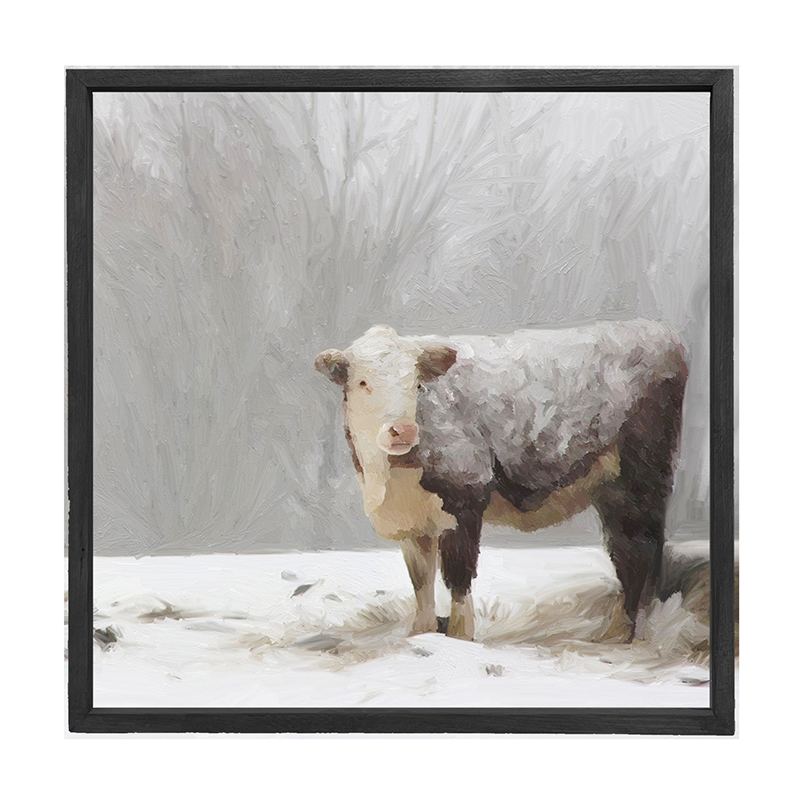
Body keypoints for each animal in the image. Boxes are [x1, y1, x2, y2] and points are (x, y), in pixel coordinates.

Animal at [315, 319, 687, 642]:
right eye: (363, 383)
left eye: (416, 383)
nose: (403, 430)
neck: (390, 480)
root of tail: (654, 329)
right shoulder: (413, 524)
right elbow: (421, 582)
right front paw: (421, 634)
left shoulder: (465, 498)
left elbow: (458, 578)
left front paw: (460, 639)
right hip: (615, 488)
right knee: (638, 548)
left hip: (640, 474)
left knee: (637, 549)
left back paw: (618, 634)